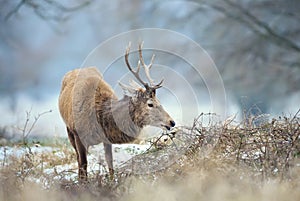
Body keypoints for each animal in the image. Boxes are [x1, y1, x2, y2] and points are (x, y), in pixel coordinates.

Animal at [58, 42, 176, 181]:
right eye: (150, 104)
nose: (171, 122)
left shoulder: (106, 139)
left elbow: (110, 164)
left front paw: (111, 182)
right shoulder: (78, 135)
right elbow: (83, 166)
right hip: (69, 130)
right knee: (78, 160)